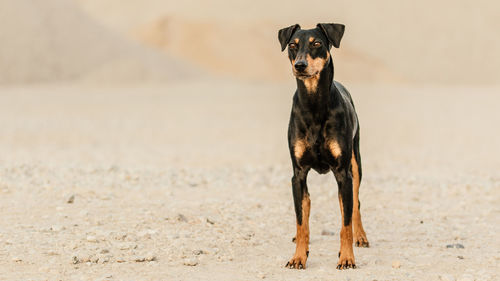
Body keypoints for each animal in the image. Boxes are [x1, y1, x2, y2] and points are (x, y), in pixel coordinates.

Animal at [280, 24, 370, 270]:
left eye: (317, 43)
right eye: (292, 45)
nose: (300, 65)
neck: (313, 104)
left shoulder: (343, 173)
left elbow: (345, 224)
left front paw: (347, 258)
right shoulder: (298, 174)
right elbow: (301, 219)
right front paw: (298, 257)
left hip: (356, 163)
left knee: (354, 204)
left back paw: (361, 236)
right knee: (307, 205)